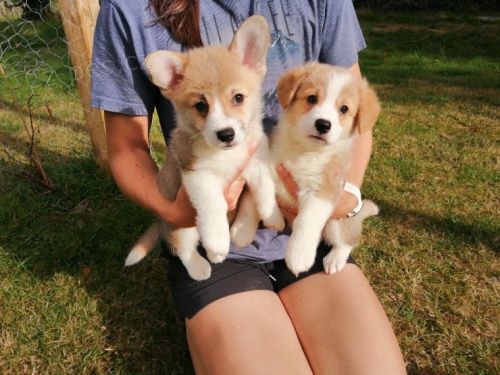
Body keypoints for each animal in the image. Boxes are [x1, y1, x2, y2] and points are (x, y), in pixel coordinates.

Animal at [124, 16, 286, 280]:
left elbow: (265, 190)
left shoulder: (257, 162)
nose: (226, 134)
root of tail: (160, 221)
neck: (227, 155)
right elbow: (214, 207)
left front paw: (274, 217)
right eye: (201, 105)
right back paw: (201, 264)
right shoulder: (198, 176)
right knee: (183, 247)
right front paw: (219, 243)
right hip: (180, 225)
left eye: (238, 98)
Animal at [230, 62, 378, 276]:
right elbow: (252, 201)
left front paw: (298, 256)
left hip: (336, 222)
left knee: (347, 241)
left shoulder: (321, 191)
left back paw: (334, 260)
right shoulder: (264, 170)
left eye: (344, 109)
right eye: (311, 98)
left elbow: (306, 222)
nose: (323, 125)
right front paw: (242, 231)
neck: (303, 152)